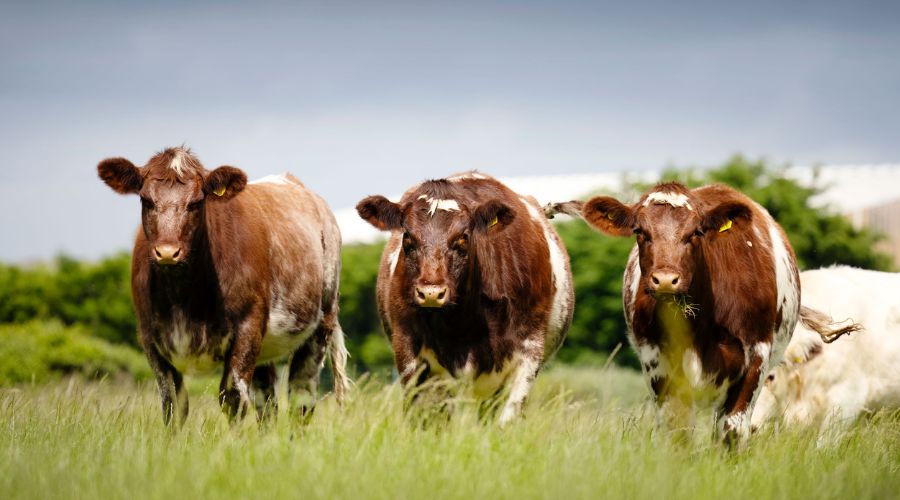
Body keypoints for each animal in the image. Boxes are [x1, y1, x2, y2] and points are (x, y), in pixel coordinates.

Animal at [96, 146, 350, 424]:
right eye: (146, 200)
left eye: (197, 202)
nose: (167, 252)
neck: (182, 296)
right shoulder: (149, 337)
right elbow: (173, 403)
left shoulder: (248, 329)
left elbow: (233, 399)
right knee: (267, 403)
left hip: (320, 325)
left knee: (300, 399)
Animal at [356, 173, 572, 426]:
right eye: (408, 237)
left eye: (462, 238)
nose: (431, 292)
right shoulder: (408, 350)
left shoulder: (529, 350)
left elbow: (507, 419)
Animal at [548, 182, 852, 444]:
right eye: (640, 232)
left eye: (695, 233)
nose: (665, 280)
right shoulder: (657, 363)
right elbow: (677, 431)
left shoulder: (756, 356)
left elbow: (732, 430)